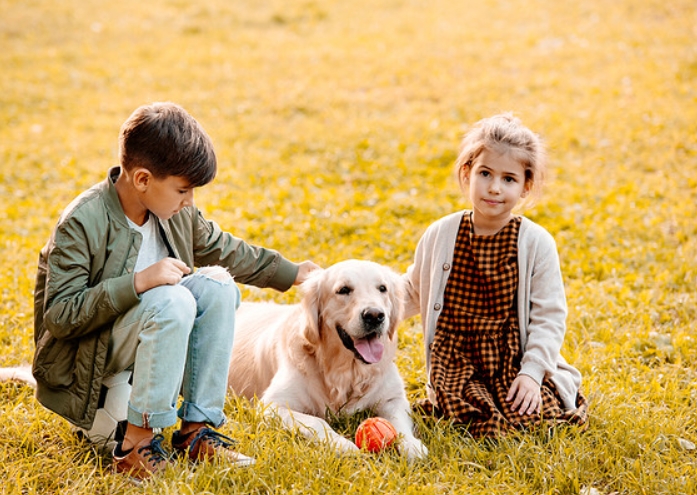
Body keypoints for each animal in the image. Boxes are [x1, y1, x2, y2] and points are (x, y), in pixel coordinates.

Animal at [228, 260, 426, 462]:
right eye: (343, 290)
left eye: (382, 288)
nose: (374, 315)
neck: (346, 372)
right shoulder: (272, 406)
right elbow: (317, 421)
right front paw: (343, 445)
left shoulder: (393, 398)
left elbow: (399, 423)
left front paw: (412, 445)